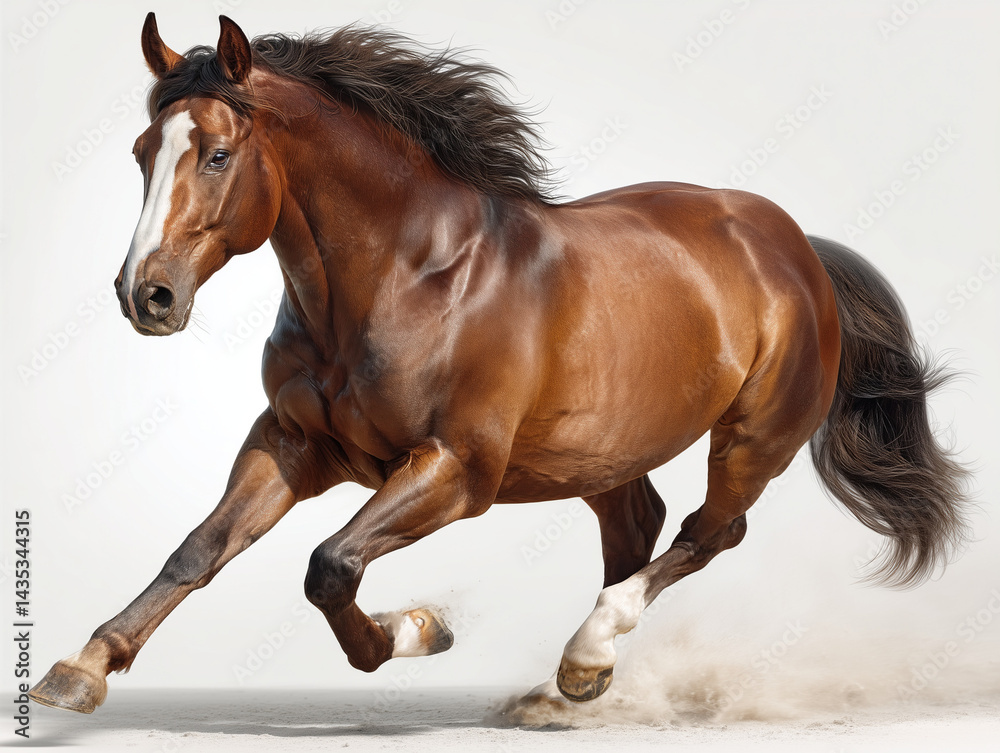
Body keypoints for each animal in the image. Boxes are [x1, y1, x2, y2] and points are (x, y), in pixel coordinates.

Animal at [30, 13, 969, 714]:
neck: (407, 275)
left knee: (710, 531)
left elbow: (330, 565)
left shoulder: (457, 468)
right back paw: (573, 689)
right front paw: (78, 669)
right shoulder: (295, 445)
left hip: (752, 439)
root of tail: (795, 247)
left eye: (218, 154)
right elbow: (198, 550)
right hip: (600, 453)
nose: (145, 295)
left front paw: (419, 628)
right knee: (642, 524)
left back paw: (585, 655)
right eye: (142, 153)